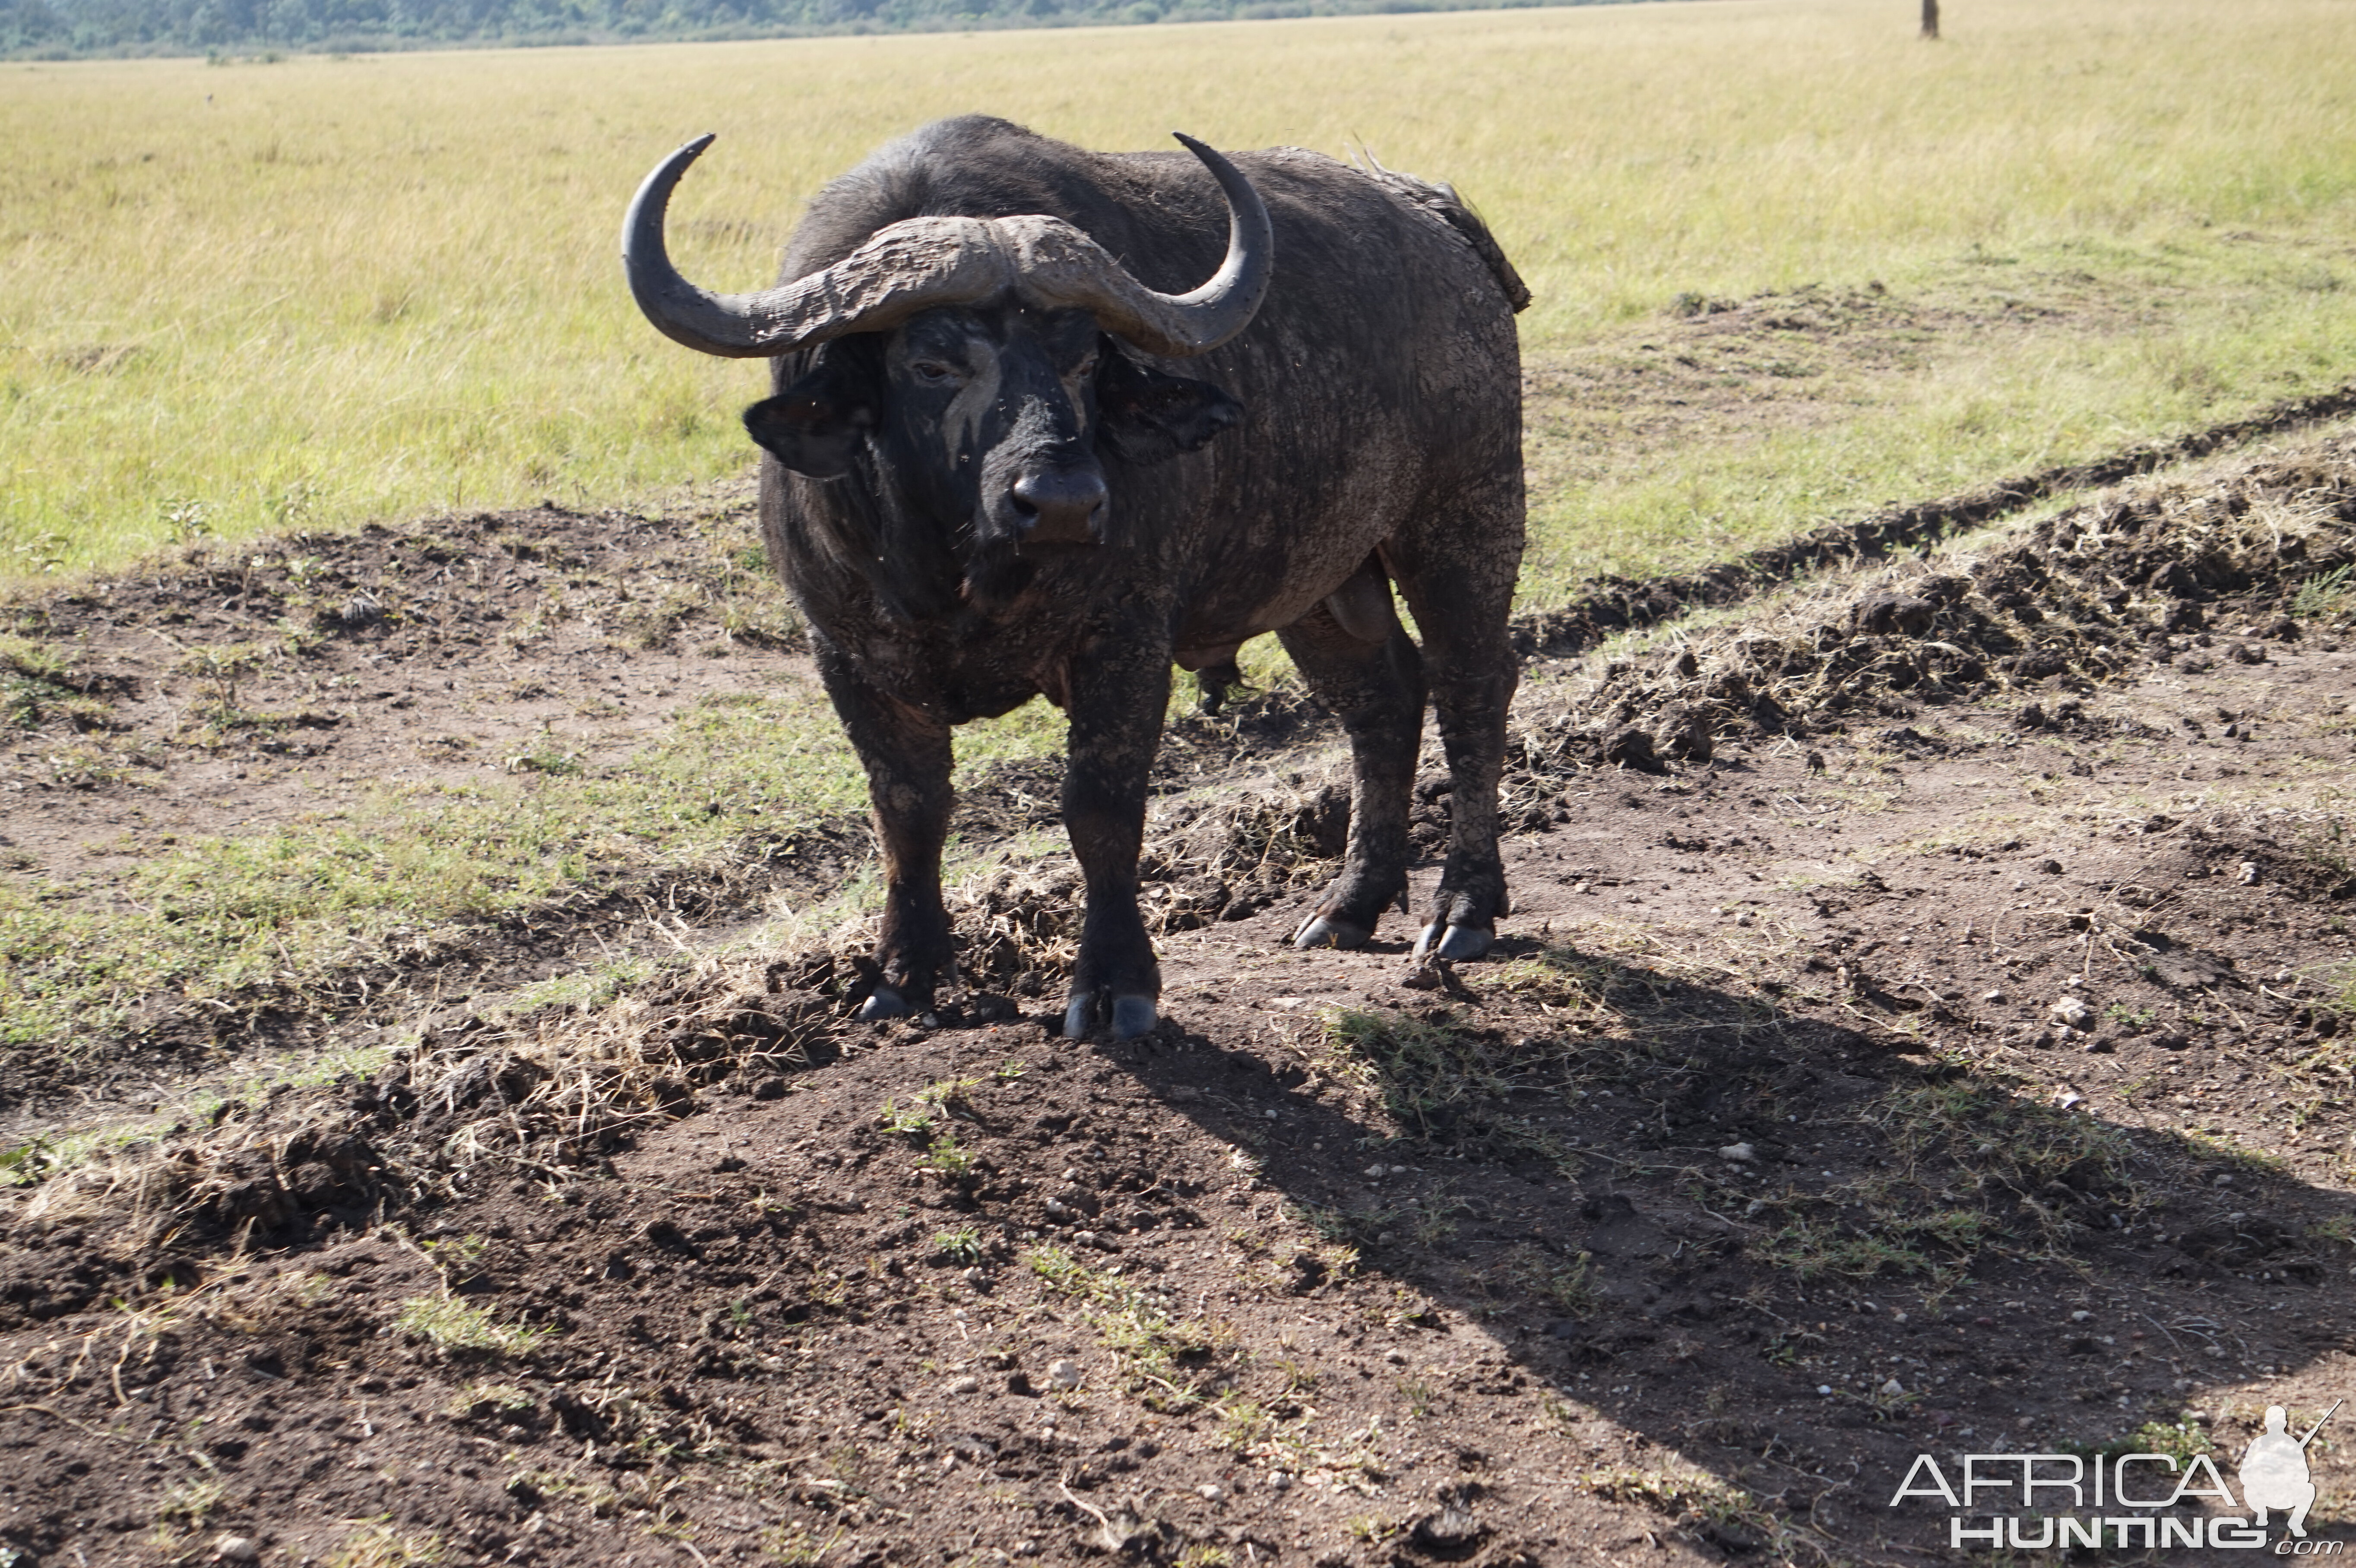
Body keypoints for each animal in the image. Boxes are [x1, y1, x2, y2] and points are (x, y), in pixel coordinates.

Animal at [622, 113, 1526, 1036]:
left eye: (1084, 360)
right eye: (932, 363)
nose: (1062, 500)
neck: (962, 568)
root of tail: (1440, 230)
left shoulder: (1124, 641)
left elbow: (1100, 807)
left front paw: (1114, 981)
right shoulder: (849, 654)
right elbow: (907, 811)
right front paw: (904, 976)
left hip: (1463, 519)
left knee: (1472, 687)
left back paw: (1462, 909)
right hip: (1316, 579)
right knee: (1382, 700)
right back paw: (1350, 904)